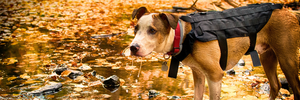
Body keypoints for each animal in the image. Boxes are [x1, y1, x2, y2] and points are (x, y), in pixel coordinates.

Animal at [129, 6, 300, 99]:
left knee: (296, 89)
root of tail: (287, 11)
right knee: (275, 86)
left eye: (152, 30)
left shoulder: (215, 75)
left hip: (287, 59)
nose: (133, 47)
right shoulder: (198, 74)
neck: (183, 35)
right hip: (267, 56)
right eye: (136, 29)